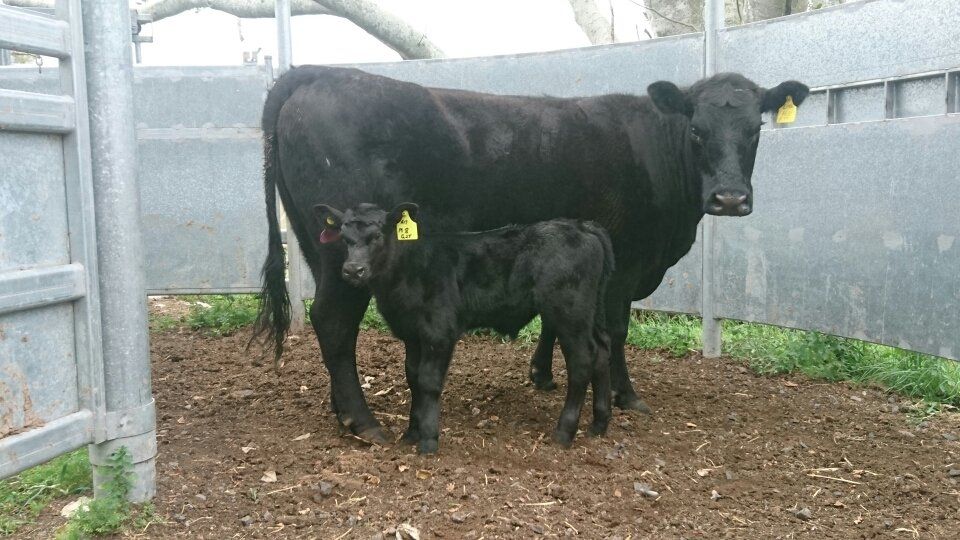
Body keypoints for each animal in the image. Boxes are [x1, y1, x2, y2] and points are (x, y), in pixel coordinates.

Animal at [312, 202, 613, 453]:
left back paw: (565, 432)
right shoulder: (413, 334)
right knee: (602, 351)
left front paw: (428, 440)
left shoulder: (439, 331)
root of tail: (582, 226)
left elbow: (428, 381)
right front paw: (411, 433)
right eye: (345, 238)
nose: (353, 270)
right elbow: (413, 379)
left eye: (376, 236)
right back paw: (599, 423)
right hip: (591, 313)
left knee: (582, 361)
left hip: (570, 313)